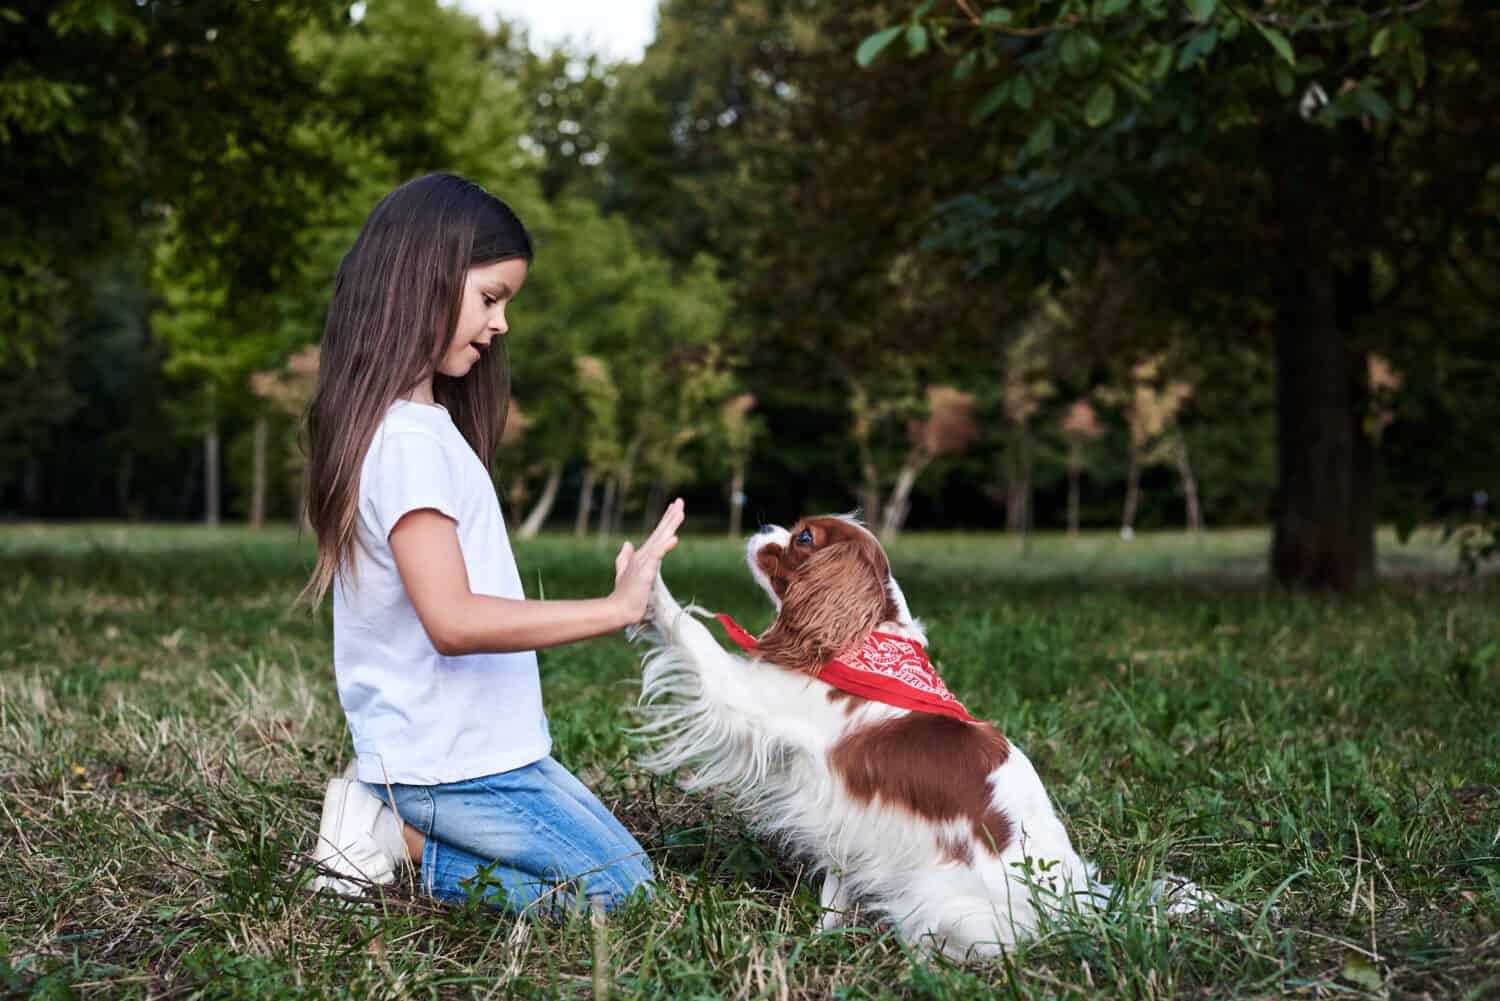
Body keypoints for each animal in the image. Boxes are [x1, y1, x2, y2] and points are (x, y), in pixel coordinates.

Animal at [627, 513, 1110, 960]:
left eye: (804, 537)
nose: (764, 525)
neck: (862, 643)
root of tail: (1066, 915)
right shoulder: (850, 823)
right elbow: (836, 886)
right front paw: (821, 935)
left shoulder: (747, 697)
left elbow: (690, 631)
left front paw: (648, 584)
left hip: (943, 903)